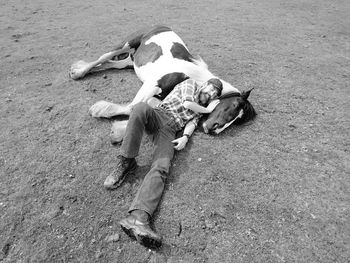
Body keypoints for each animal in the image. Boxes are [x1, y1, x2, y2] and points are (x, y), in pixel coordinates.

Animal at [69, 24, 256, 141]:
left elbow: (141, 108)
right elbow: (132, 106)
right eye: (233, 106)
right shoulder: (152, 84)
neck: (194, 76)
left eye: (238, 121)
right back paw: (78, 72)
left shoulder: (158, 95)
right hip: (126, 44)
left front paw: (118, 128)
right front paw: (104, 116)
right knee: (103, 57)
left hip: (131, 61)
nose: (214, 129)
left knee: (111, 64)